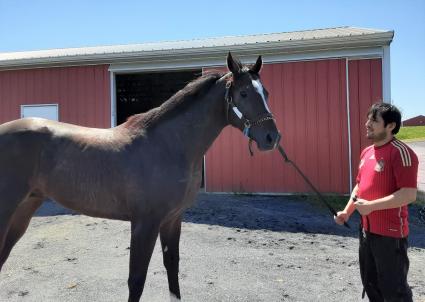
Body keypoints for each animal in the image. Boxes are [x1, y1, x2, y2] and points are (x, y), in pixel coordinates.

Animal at [0, 53, 282, 300]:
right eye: (243, 93)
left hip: (25, 209)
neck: (168, 145)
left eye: (267, 93)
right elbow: (136, 279)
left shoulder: (172, 219)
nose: (272, 138)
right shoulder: (145, 223)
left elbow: (172, 266)